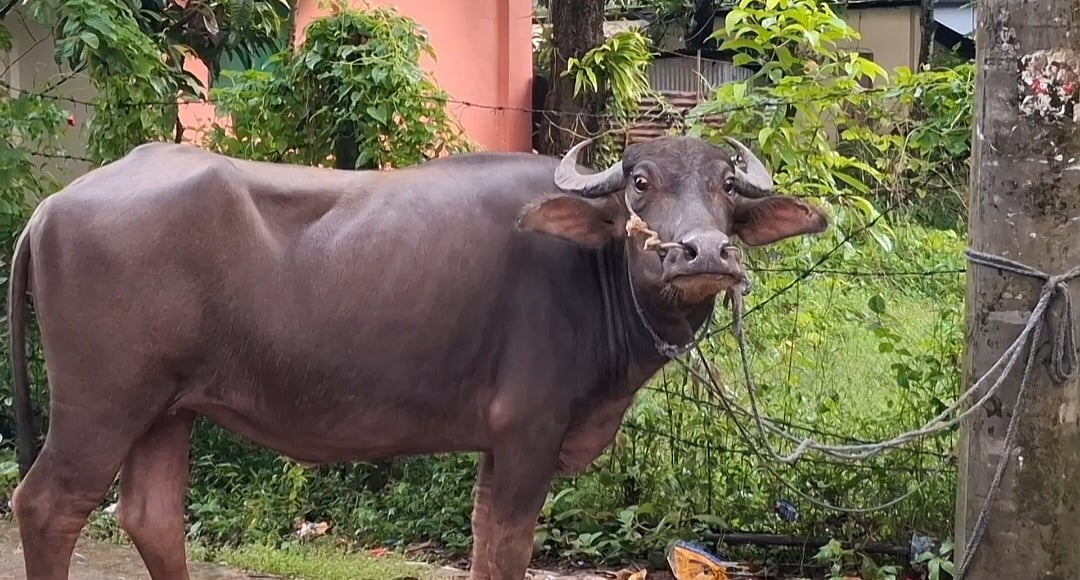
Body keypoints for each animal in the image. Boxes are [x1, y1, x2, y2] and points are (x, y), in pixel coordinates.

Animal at [9, 134, 828, 580]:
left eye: (726, 186)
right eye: (639, 183)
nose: (705, 253)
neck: (591, 272)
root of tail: (52, 208)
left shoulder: (500, 445)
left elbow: (486, 542)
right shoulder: (528, 431)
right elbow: (506, 548)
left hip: (167, 408)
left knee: (150, 516)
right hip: (101, 406)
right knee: (47, 505)